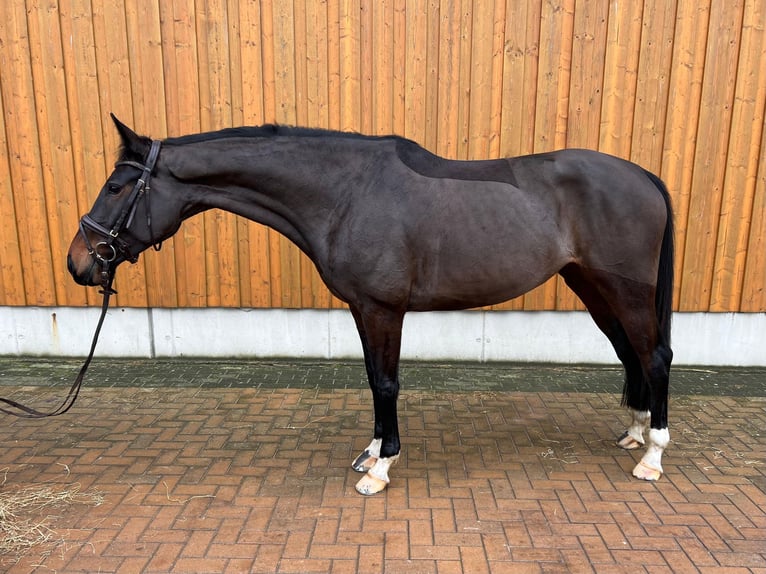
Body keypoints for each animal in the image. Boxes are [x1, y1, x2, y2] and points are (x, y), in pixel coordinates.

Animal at [69, 116, 676, 496]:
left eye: (117, 187)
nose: (79, 263)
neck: (345, 193)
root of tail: (644, 175)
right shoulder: (364, 308)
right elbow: (371, 377)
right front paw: (373, 449)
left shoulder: (383, 308)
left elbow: (386, 382)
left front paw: (380, 469)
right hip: (591, 286)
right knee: (630, 353)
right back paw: (635, 431)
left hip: (624, 289)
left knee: (656, 356)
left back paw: (653, 456)